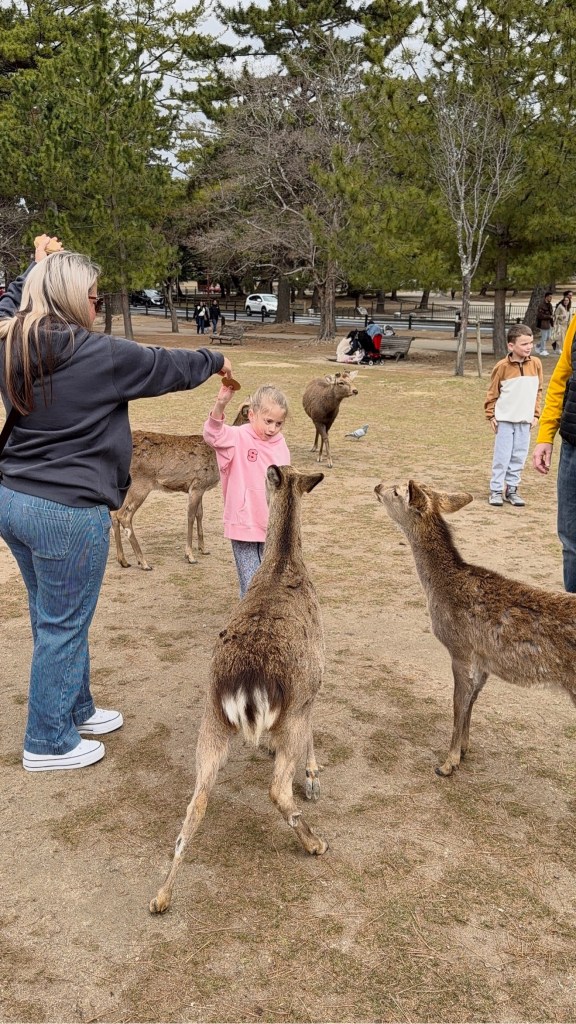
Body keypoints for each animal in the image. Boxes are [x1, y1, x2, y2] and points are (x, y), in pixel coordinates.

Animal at [112, 402, 249, 570]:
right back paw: (143, 562)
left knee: (114, 513)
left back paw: (123, 560)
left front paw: (203, 549)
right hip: (140, 485)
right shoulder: (197, 485)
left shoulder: (200, 488)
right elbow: (190, 516)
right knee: (123, 515)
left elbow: (200, 514)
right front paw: (190, 556)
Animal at [150, 464, 327, 915]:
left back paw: (161, 897)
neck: (285, 565)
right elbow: (313, 734)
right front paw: (313, 777)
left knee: (196, 803)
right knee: (277, 790)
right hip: (287, 711)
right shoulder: (312, 688)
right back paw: (315, 843)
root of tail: (246, 683)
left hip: (211, 720)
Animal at [375, 479, 576, 778]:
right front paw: (464, 750)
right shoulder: (483, 658)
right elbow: (472, 700)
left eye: (397, 491)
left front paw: (447, 763)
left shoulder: (459, 648)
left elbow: (458, 703)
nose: (377, 486)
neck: (441, 588)